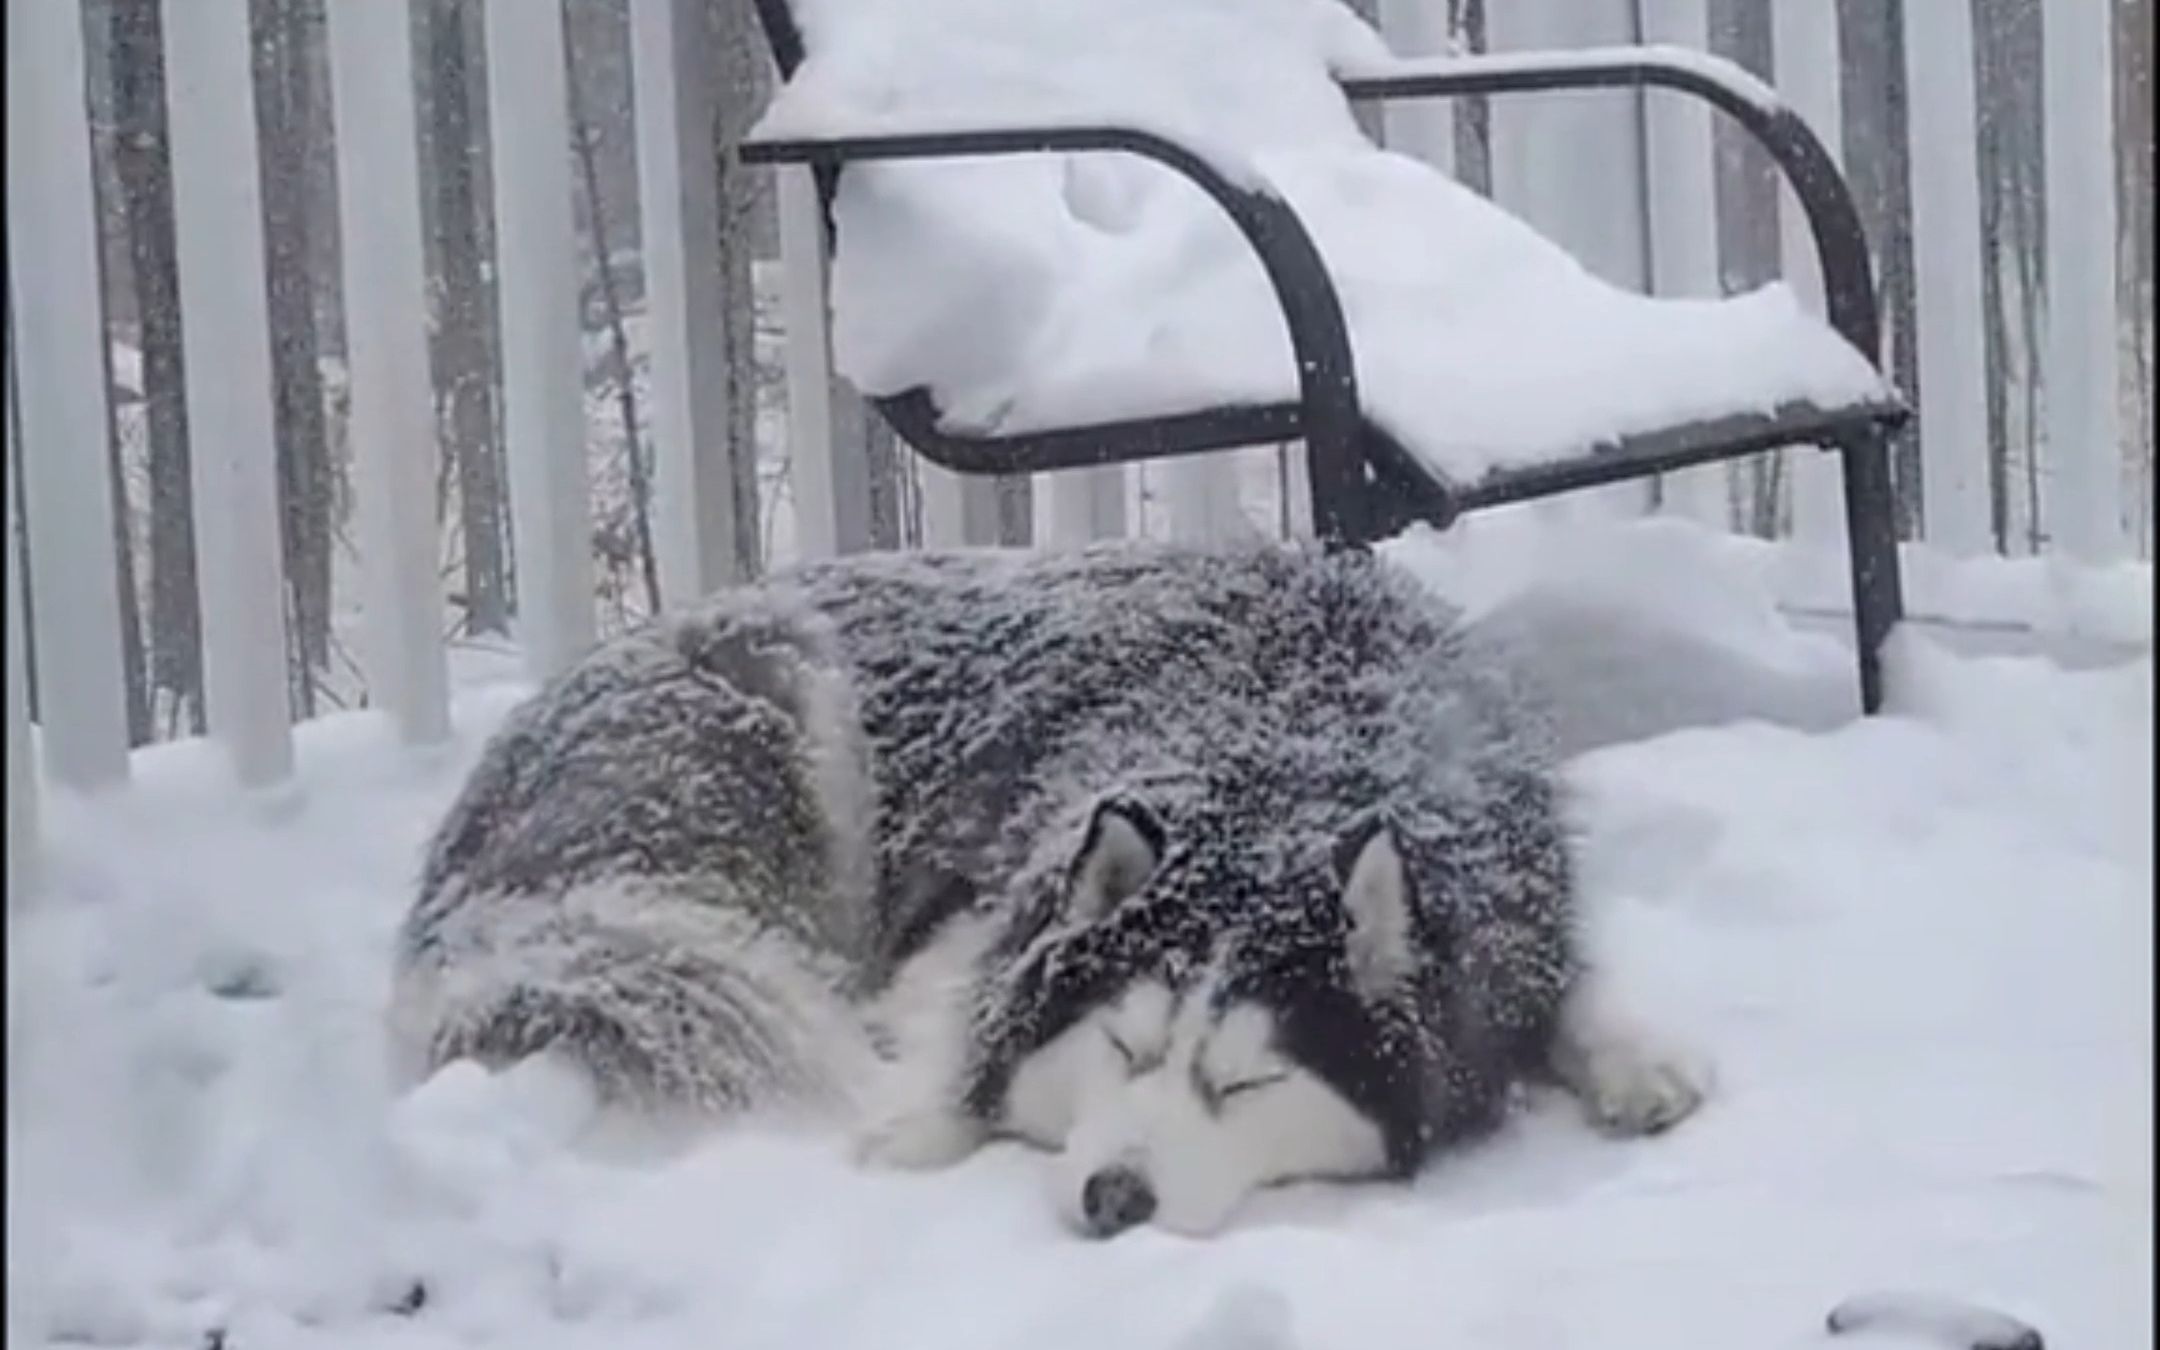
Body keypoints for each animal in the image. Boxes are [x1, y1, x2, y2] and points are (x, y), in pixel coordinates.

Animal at [393, 537, 1702, 1235]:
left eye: (1248, 1080)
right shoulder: (980, 912)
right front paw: (921, 1119)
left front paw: (1636, 1060)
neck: (1295, 757)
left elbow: (1571, 991)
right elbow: (961, 1025)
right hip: (778, 688)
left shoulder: (1511, 915)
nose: (1115, 1198)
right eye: (1122, 1048)